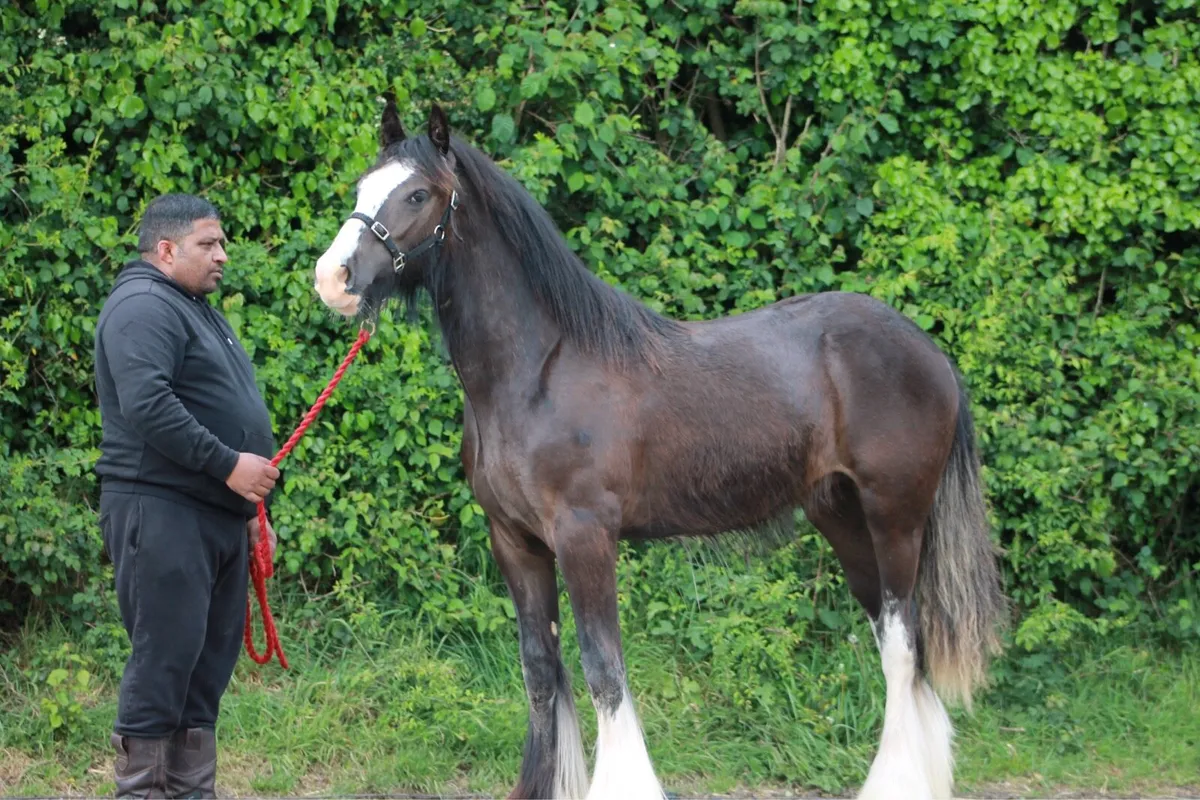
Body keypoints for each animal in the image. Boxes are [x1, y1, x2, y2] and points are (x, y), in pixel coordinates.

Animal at [312, 98, 1007, 800]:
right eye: (361, 188)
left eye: (417, 194)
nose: (332, 279)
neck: (538, 371)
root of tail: (929, 352)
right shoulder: (515, 540)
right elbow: (540, 670)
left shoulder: (585, 536)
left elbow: (603, 671)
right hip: (841, 517)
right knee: (900, 649)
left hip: (896, 518)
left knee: (902, 647)